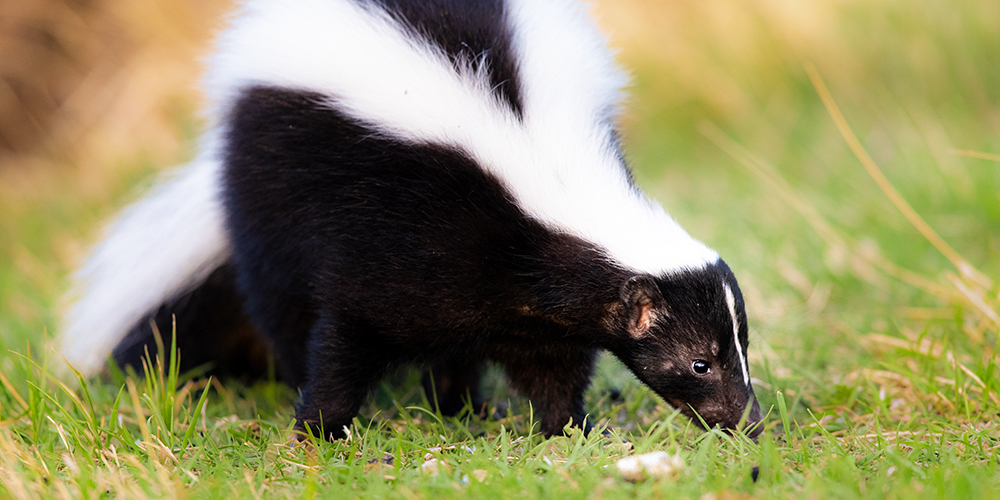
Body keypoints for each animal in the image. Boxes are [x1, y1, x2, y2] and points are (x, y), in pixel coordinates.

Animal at [60, 0, 764, 438]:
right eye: (700, 363)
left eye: (741, 349)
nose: (748, 421)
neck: (546, 176)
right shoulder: (394, 239)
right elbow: (344, 335)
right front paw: (321, 429)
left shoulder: (530, 296)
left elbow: (552, 362)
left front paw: (568, 429)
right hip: (266, 195)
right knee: (282, 307)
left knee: (454, 345)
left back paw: (462, 408)